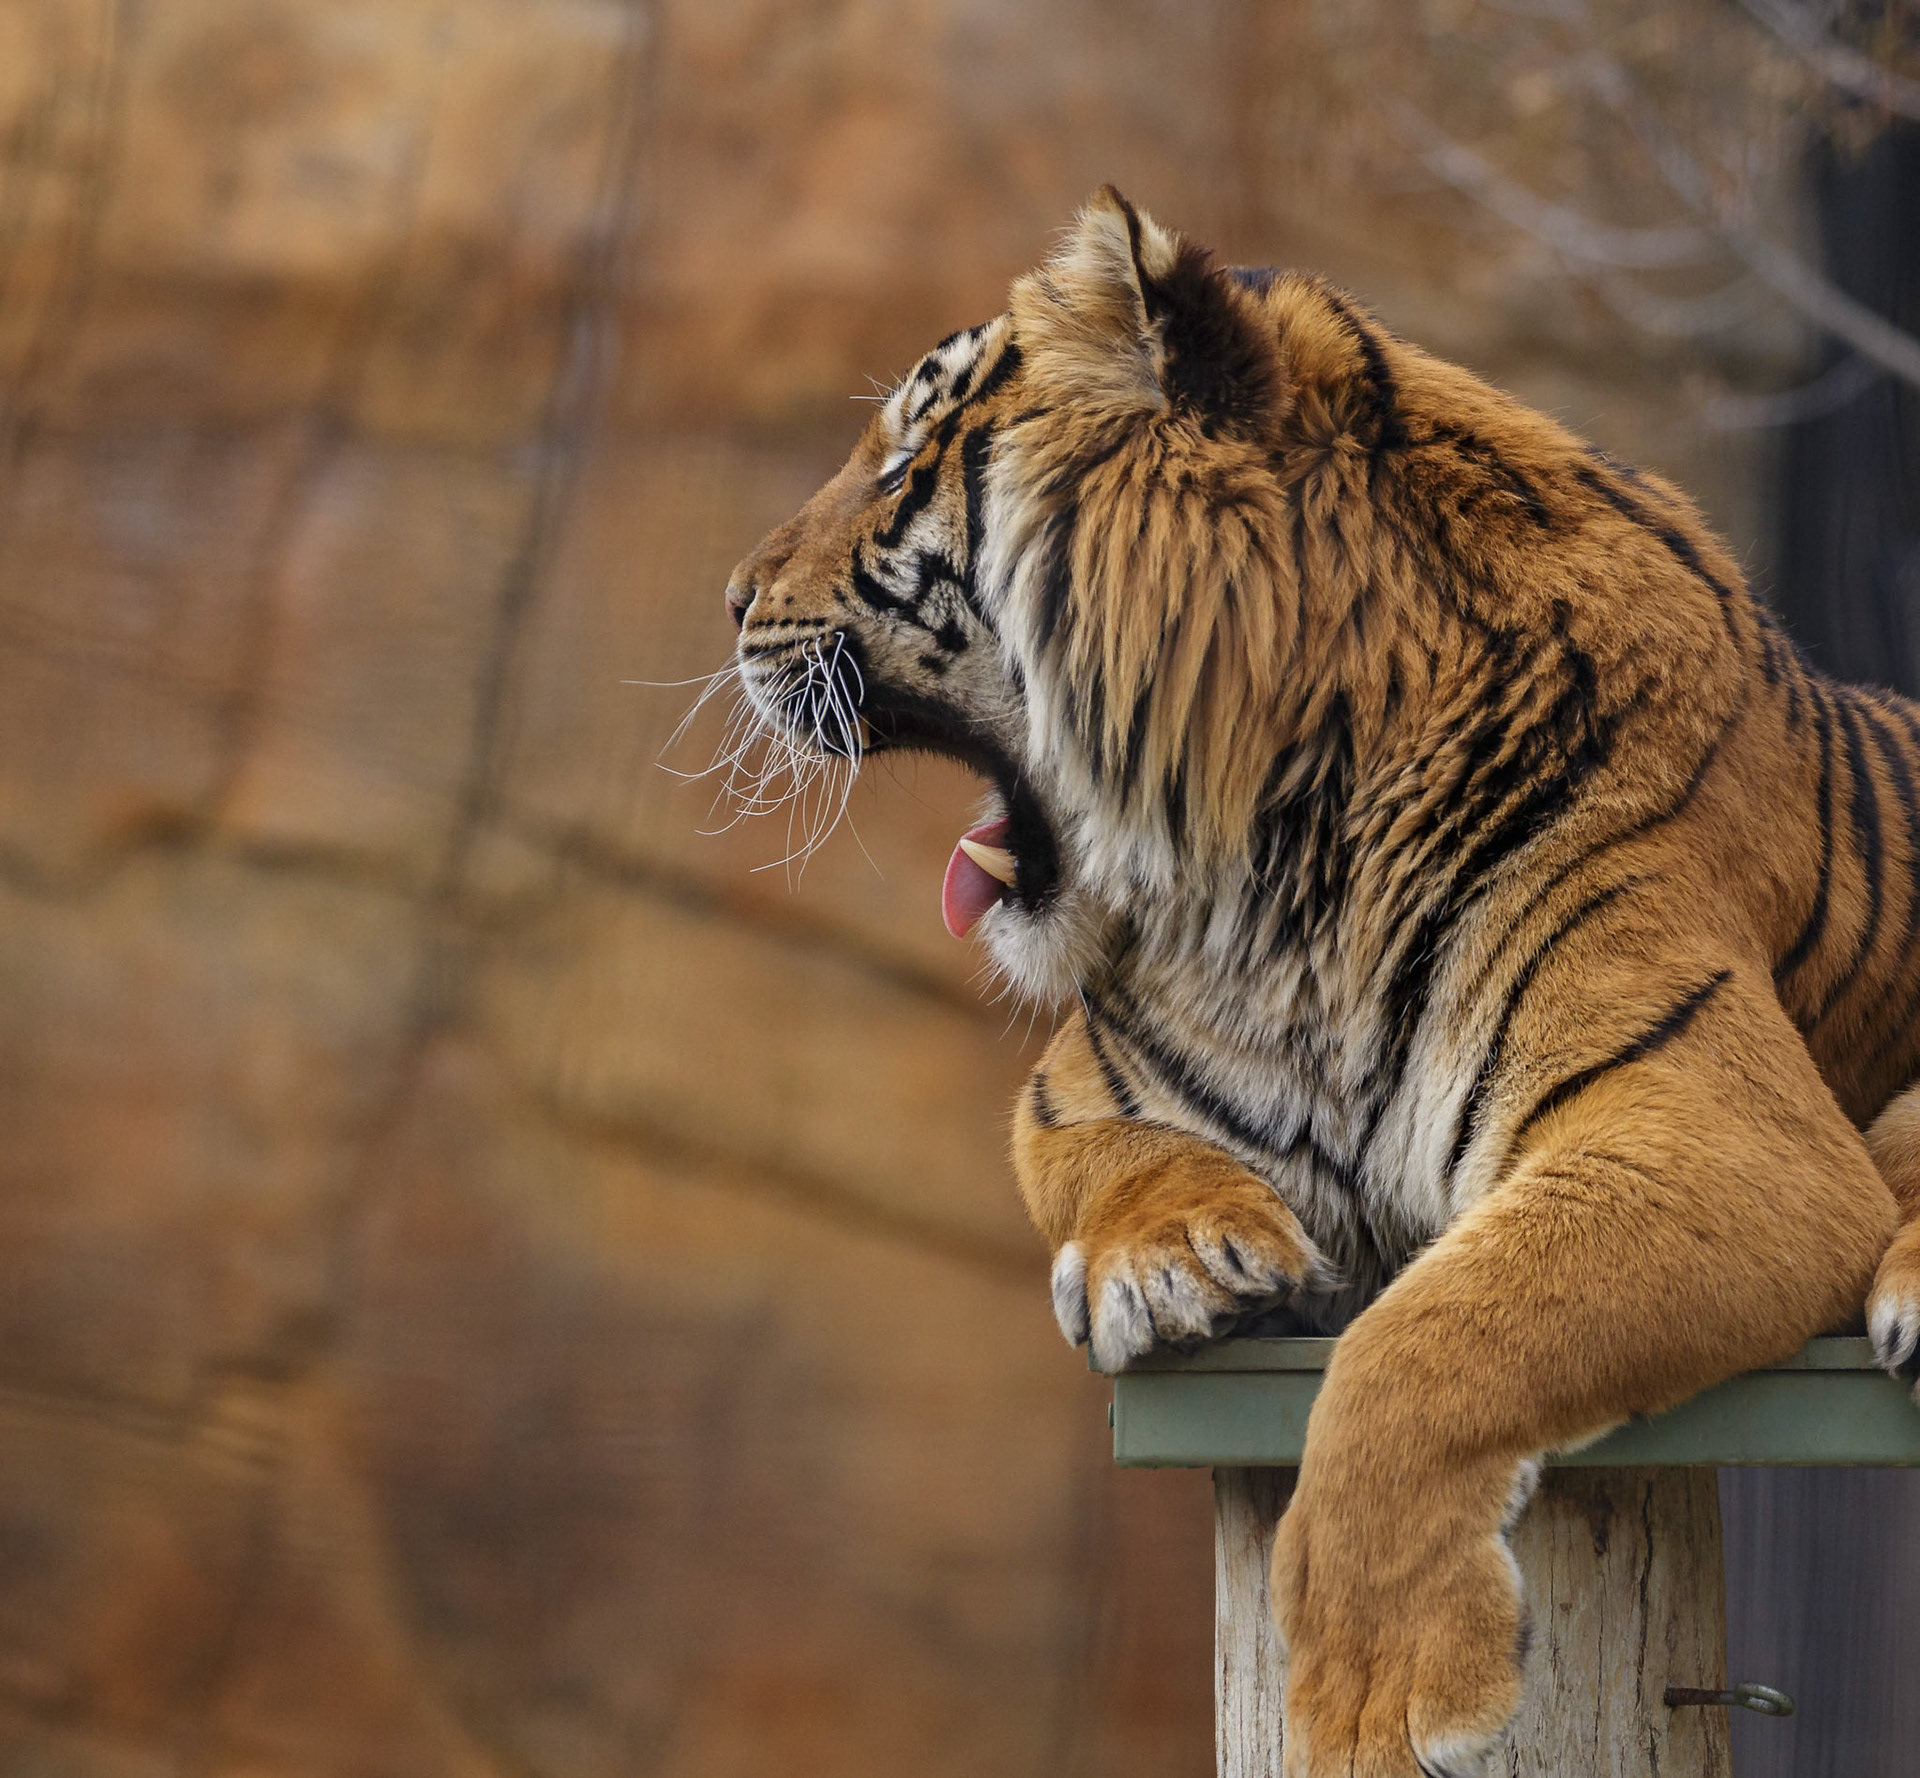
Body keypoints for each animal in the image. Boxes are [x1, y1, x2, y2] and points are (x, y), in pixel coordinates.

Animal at [718, 186, 1920, 1778]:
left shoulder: (1719, 1130)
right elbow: (1118, 1159)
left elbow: (1432, 1338)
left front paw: (1374, 1694)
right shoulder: (1070, 1084)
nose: (730, 599)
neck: (1271, 866)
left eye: (906, 459)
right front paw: (1171, 1258)